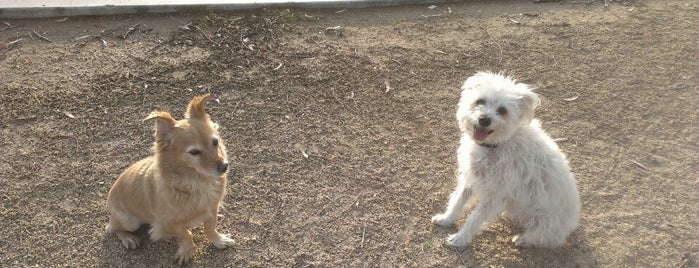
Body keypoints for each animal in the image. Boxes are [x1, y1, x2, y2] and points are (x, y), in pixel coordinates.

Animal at [105, 94, 234, 264]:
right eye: (194, 152)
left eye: (215, 142)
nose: (224, 166)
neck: (196, 181)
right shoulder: (167, 223)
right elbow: (186, 234)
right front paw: (187, 251)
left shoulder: (212, 206)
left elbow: (210, 227)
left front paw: (218, 240)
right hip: (129, 221)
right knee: (112, 228)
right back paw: (128, 238)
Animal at [432, 72, 580, 248]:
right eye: (480, 101)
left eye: (502, 110)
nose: (484, 119)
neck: (496, 145)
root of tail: (570, 226)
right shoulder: (471, 179)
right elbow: (457, 201)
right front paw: (445, 219)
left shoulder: (495, 196)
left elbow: (474, 219)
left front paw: (459, 239)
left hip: (545, 225)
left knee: (544, 238)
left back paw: (521, 240)